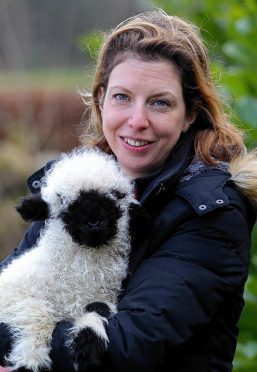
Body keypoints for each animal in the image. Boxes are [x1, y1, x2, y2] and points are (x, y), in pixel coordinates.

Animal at [0, 147, 136, 372]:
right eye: (63, 201)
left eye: (115, 196)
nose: (93, 223)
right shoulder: (16, 300)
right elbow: (39, 318)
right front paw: (31, 361)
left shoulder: (101, 296)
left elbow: (98, 309)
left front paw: (88, 346)